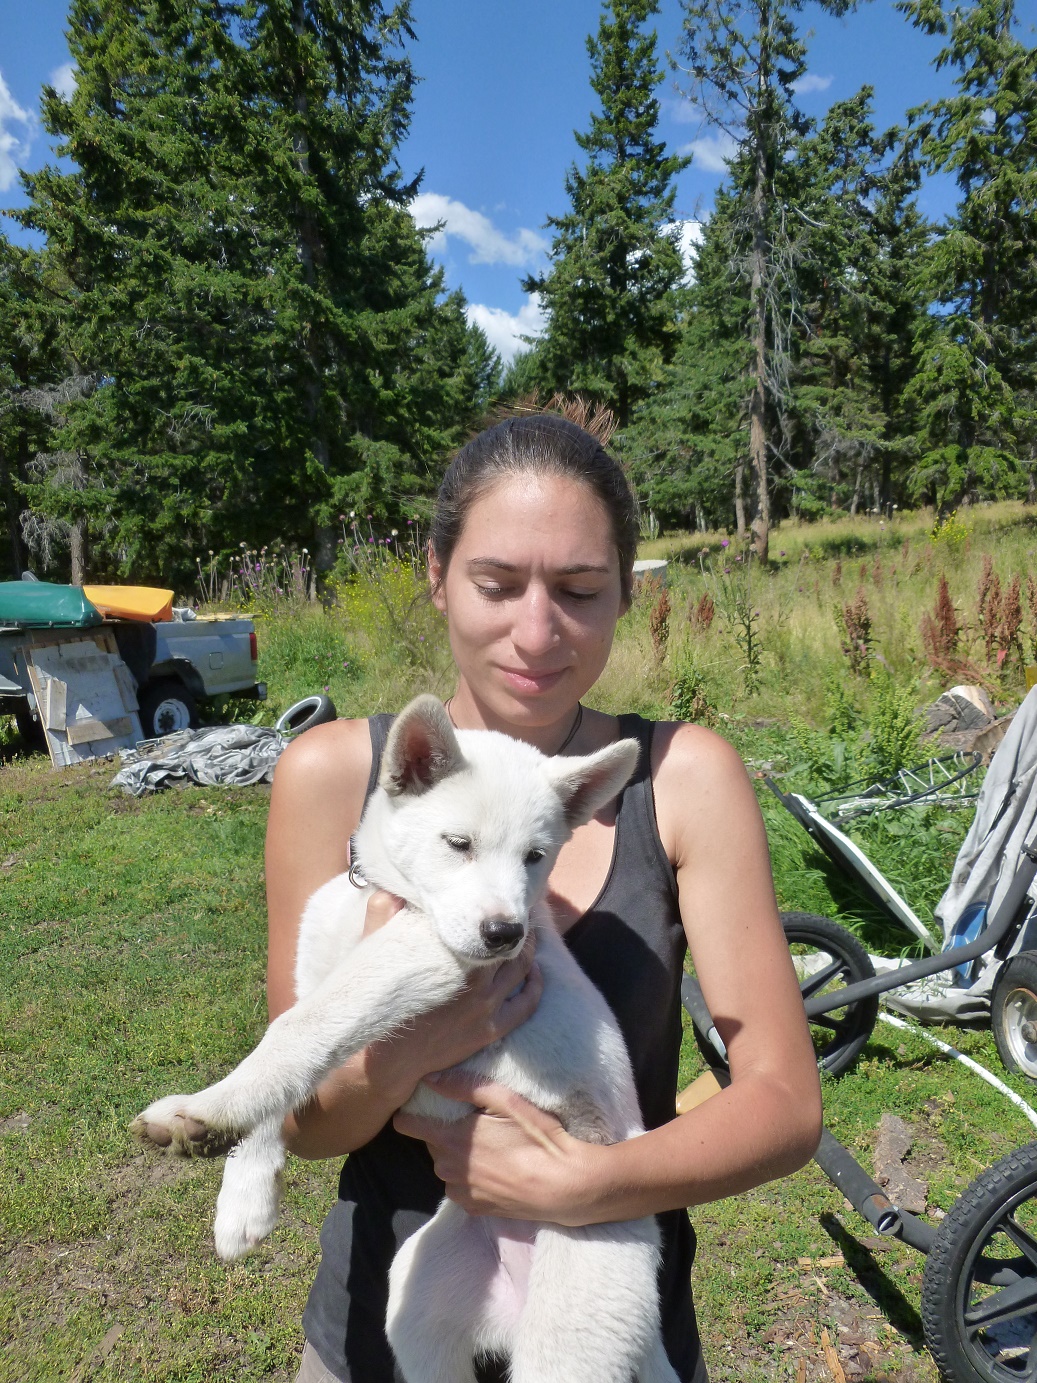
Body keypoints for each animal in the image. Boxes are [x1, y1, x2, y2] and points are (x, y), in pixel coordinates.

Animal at [133, 694, 681, 1383]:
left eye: (537, 856)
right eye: (458, 844)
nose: (508, 935)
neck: (390, 898)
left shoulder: (424, 959)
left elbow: (294, 1034)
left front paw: (204, 1111)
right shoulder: (318, 977)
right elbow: (292, 1053)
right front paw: (244, 1195)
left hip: (572, 1319)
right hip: (417, 1296)